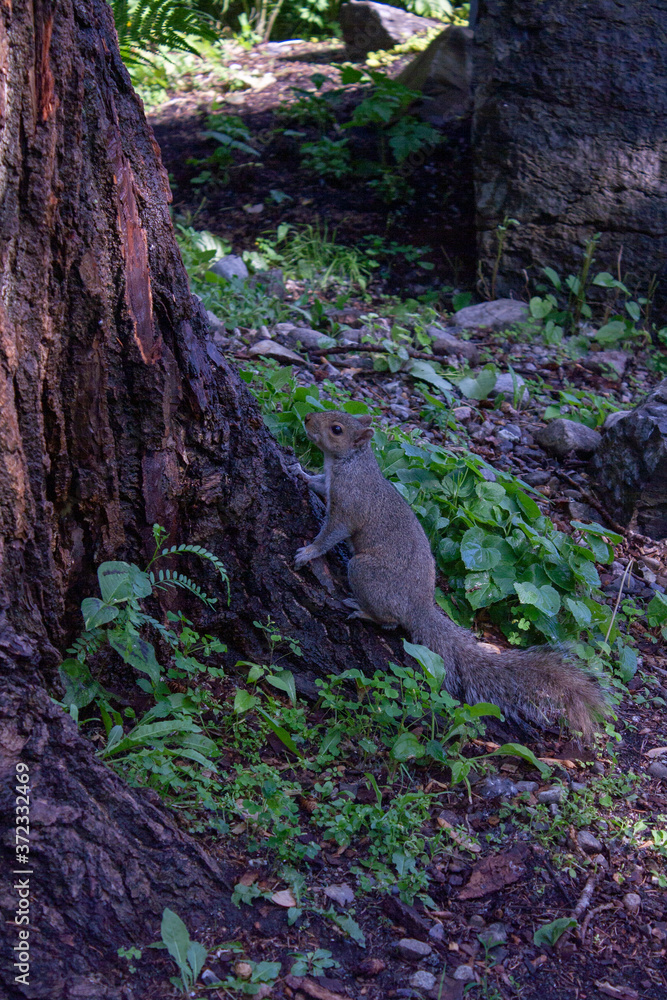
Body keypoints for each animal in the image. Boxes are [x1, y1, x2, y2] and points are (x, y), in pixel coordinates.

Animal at [294, 410, 608, 740]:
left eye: (336, 429)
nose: (308, 418)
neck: (348, 465)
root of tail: (419, 607)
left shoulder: (349, 507)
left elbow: (331, 534)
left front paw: (309, 552)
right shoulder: (329, 484)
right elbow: (317, 483)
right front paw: (299, 471)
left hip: (364, 571)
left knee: (391, 621)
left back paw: (364, 611)